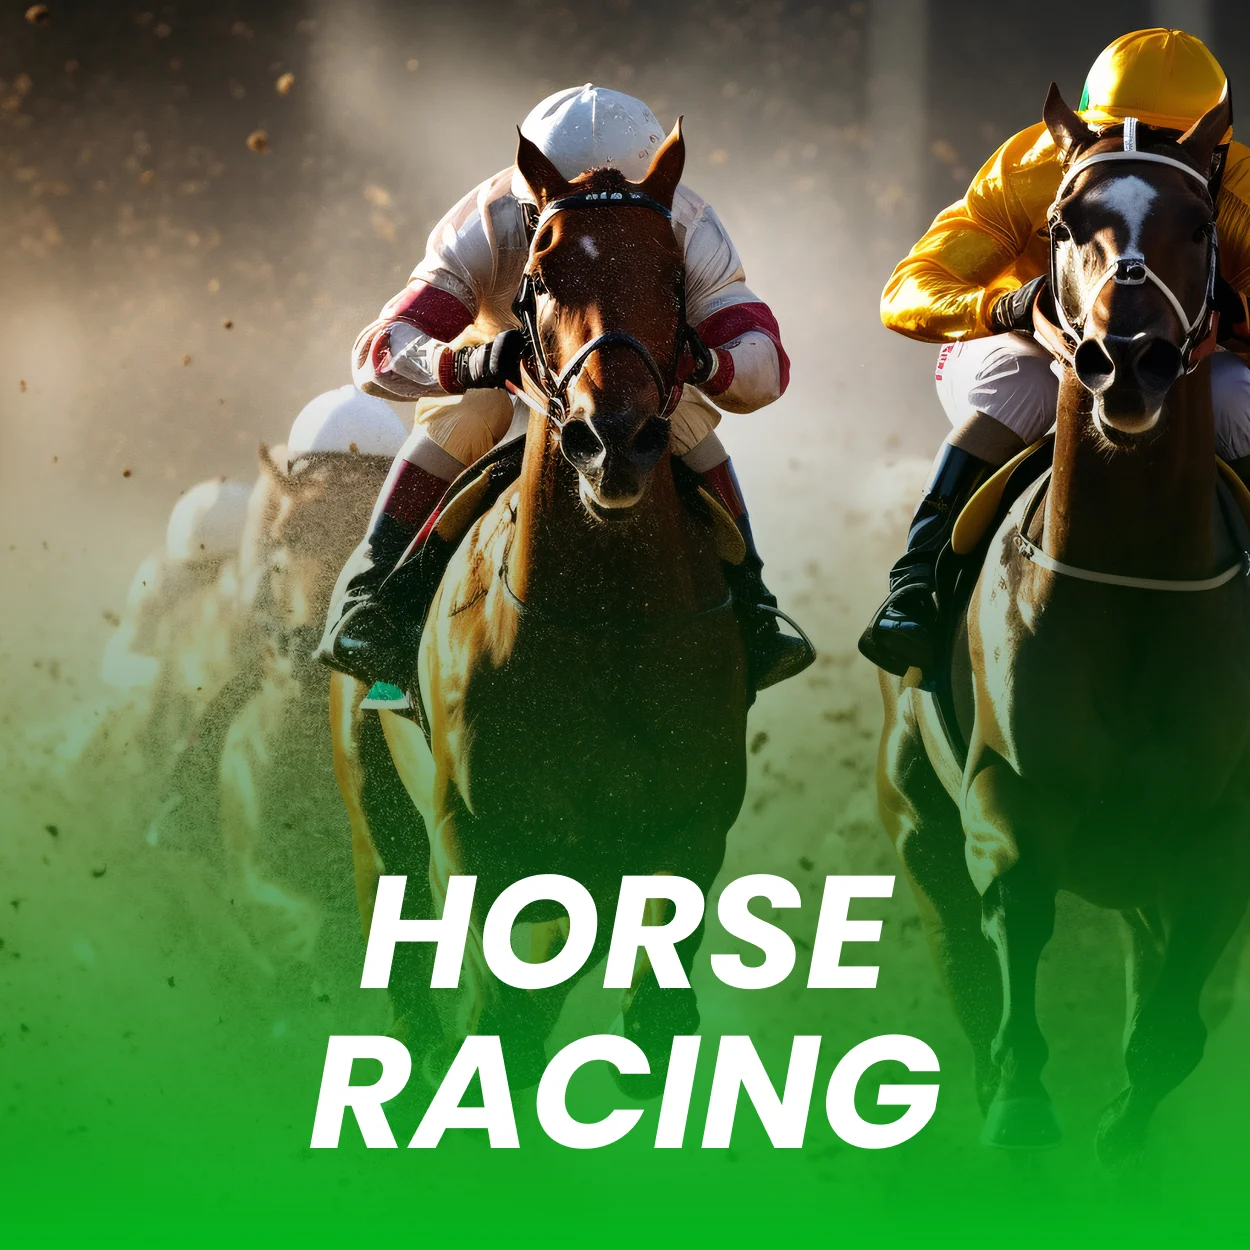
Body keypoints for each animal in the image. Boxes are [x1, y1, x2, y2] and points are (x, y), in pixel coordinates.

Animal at [331, 120, 750, 1088]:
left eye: (673, 274)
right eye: (543, 274)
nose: (613, 441)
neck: (607, 625)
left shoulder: (688, 843)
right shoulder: (484, 851)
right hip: (380, 821)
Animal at [876, 85, 1250, 1163]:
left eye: (1199, 224)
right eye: (1062, 225)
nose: (1126, 363)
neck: (1131, 584)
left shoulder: (1218, 838)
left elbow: (1166, 1037)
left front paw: (1124, 1139)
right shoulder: (1004, 796)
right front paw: (1021, 1112)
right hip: (913, 814)